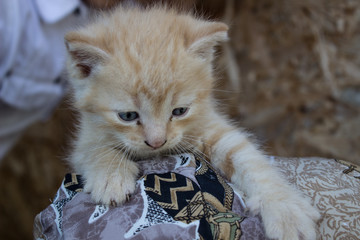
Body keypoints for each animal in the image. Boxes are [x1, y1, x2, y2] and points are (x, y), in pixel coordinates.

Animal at [64, 4, 318, 239]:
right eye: (128, 116)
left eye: (179, 111)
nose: (157, 142)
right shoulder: (85, 138)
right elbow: (94, 150)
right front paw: (111, 177)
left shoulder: (208, 125)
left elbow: (248, 158)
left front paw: (285, 208)